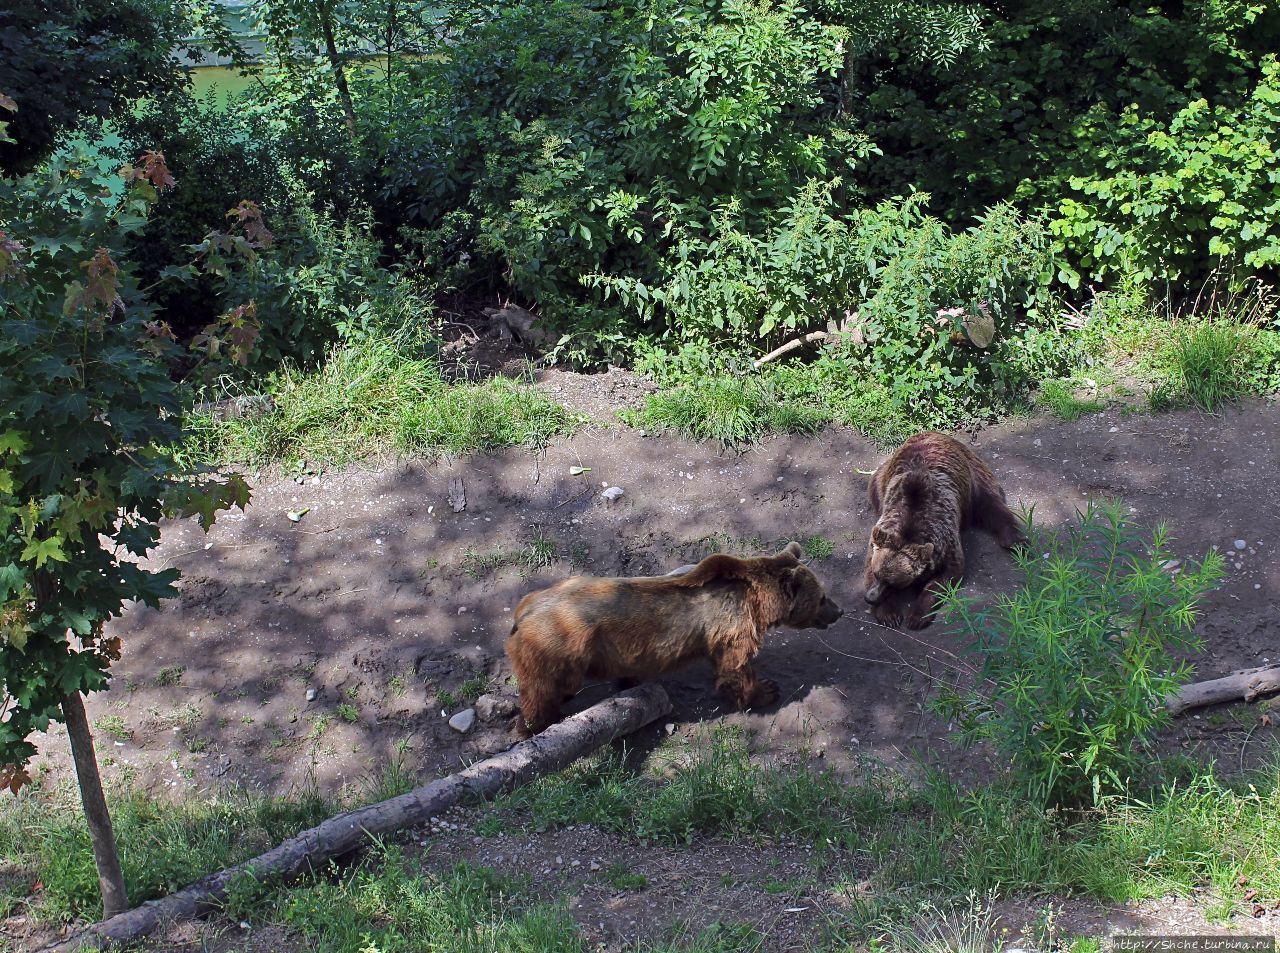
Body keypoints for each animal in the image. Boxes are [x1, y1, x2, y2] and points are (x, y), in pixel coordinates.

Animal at [504, 542, 844, 736]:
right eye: (822, 597)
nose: (840, 611)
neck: (757, 602)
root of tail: (524, 611)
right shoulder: (731, 627)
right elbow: (736, 667)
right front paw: (764, 691)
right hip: (555, 649)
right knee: (541, 692)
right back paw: (534, 725)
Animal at [865, 432, 1024, 631]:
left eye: (893, 582)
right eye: (877, 574)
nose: (869, 598)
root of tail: (932, 433)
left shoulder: (946, 541)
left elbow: (945, 576)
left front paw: (917, 616)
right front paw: (889, 614)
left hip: (972, 477)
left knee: (991, 503)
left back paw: (1016, 540)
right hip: (880, 478)